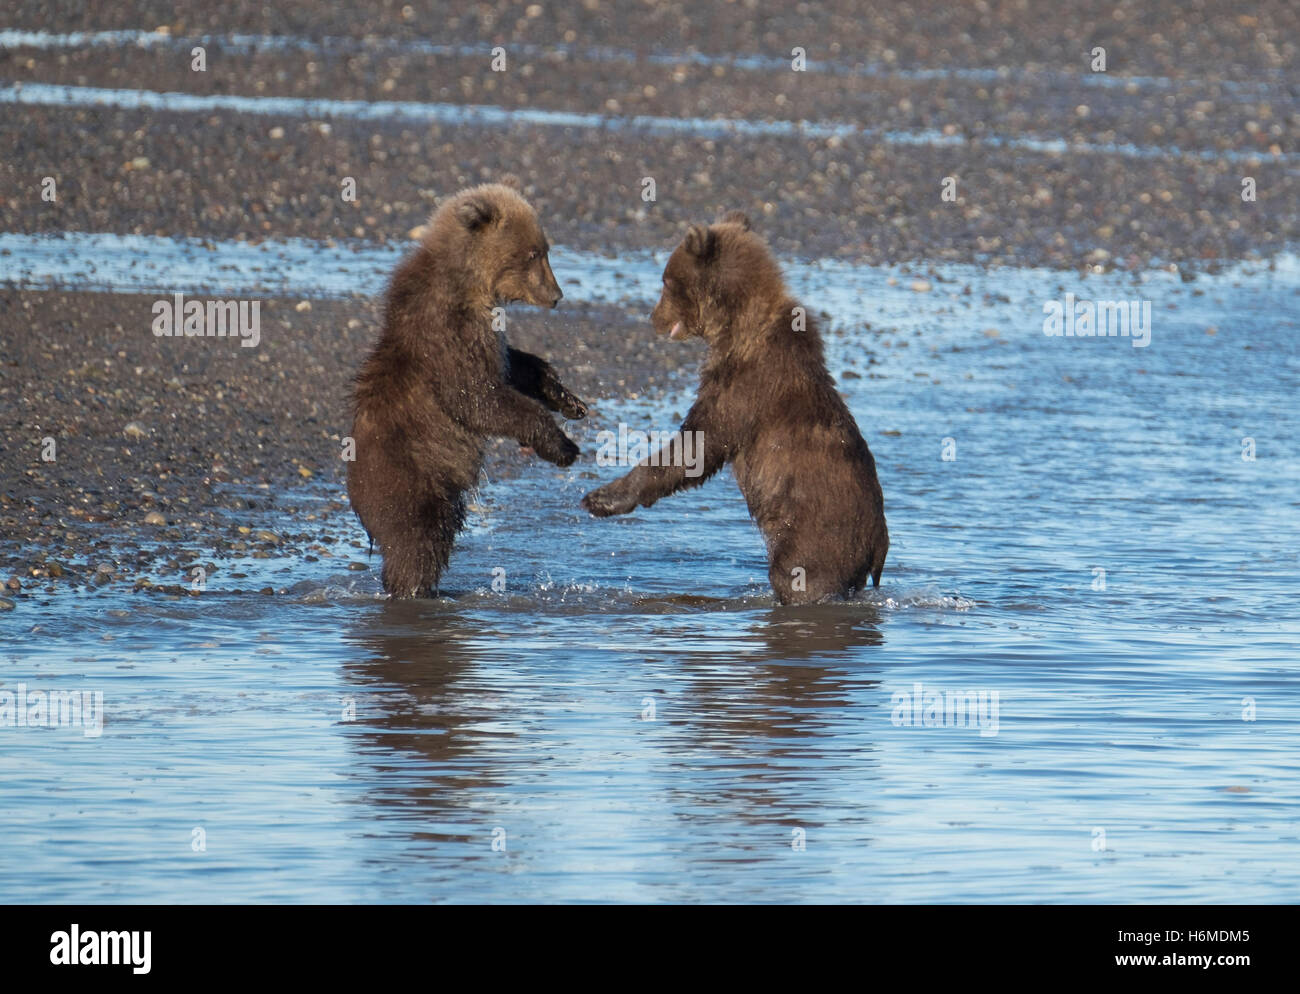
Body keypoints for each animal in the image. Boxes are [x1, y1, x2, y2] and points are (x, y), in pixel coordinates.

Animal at [347, 180, 587, 598]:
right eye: (533, 253)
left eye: (543, 250)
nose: (556, 295)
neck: (470, 282)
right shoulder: (449, 331)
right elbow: (477, 397)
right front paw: (562, 446)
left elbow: (512, 367)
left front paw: (568, 399)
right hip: (412, 478)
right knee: (418, 543)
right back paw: (416, 589)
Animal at [580, 211, 888, 605]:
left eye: (666, 281)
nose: (652, 318)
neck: (736, 328)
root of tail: (879, 545)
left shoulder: (744, 386)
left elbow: (697, 445)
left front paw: (601, 498)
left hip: (815, 534)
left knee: (800, 577)